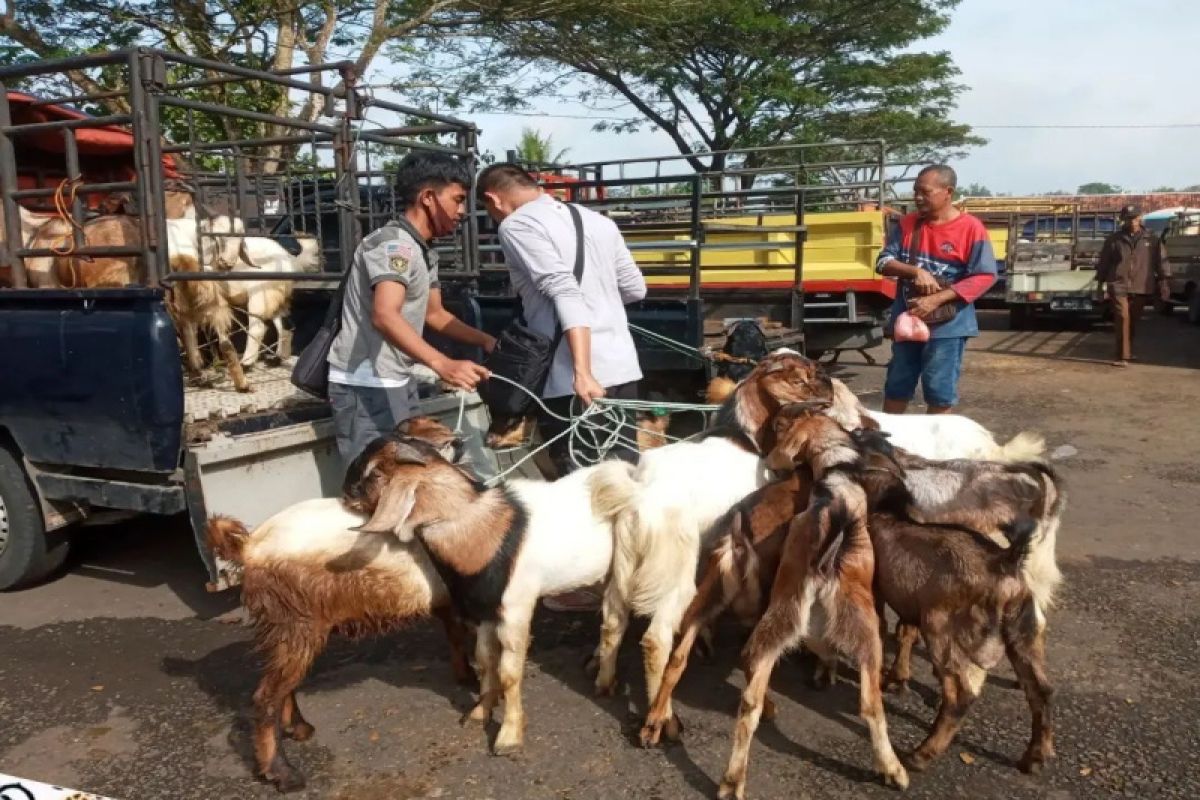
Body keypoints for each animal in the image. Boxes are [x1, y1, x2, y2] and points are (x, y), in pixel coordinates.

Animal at [345, 431, 643, 758]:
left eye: (375, 473)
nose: (346, 491)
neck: (487, 535)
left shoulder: (514, 610)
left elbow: (509, 672)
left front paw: (509, 736)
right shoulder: (485, 611)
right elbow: (485, 658)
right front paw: (479, 712)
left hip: (622, 569)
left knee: (614, 623)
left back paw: (604, 682)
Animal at [583, 350, 835, 738]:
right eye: (798, 377)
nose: (829, 382)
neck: (746, 436)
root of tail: (641, 497)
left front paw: (706, 637)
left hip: (624, 565)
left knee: (612, 622)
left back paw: (606, 682)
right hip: (674, 573)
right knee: (656, 640)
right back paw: (664, 720)